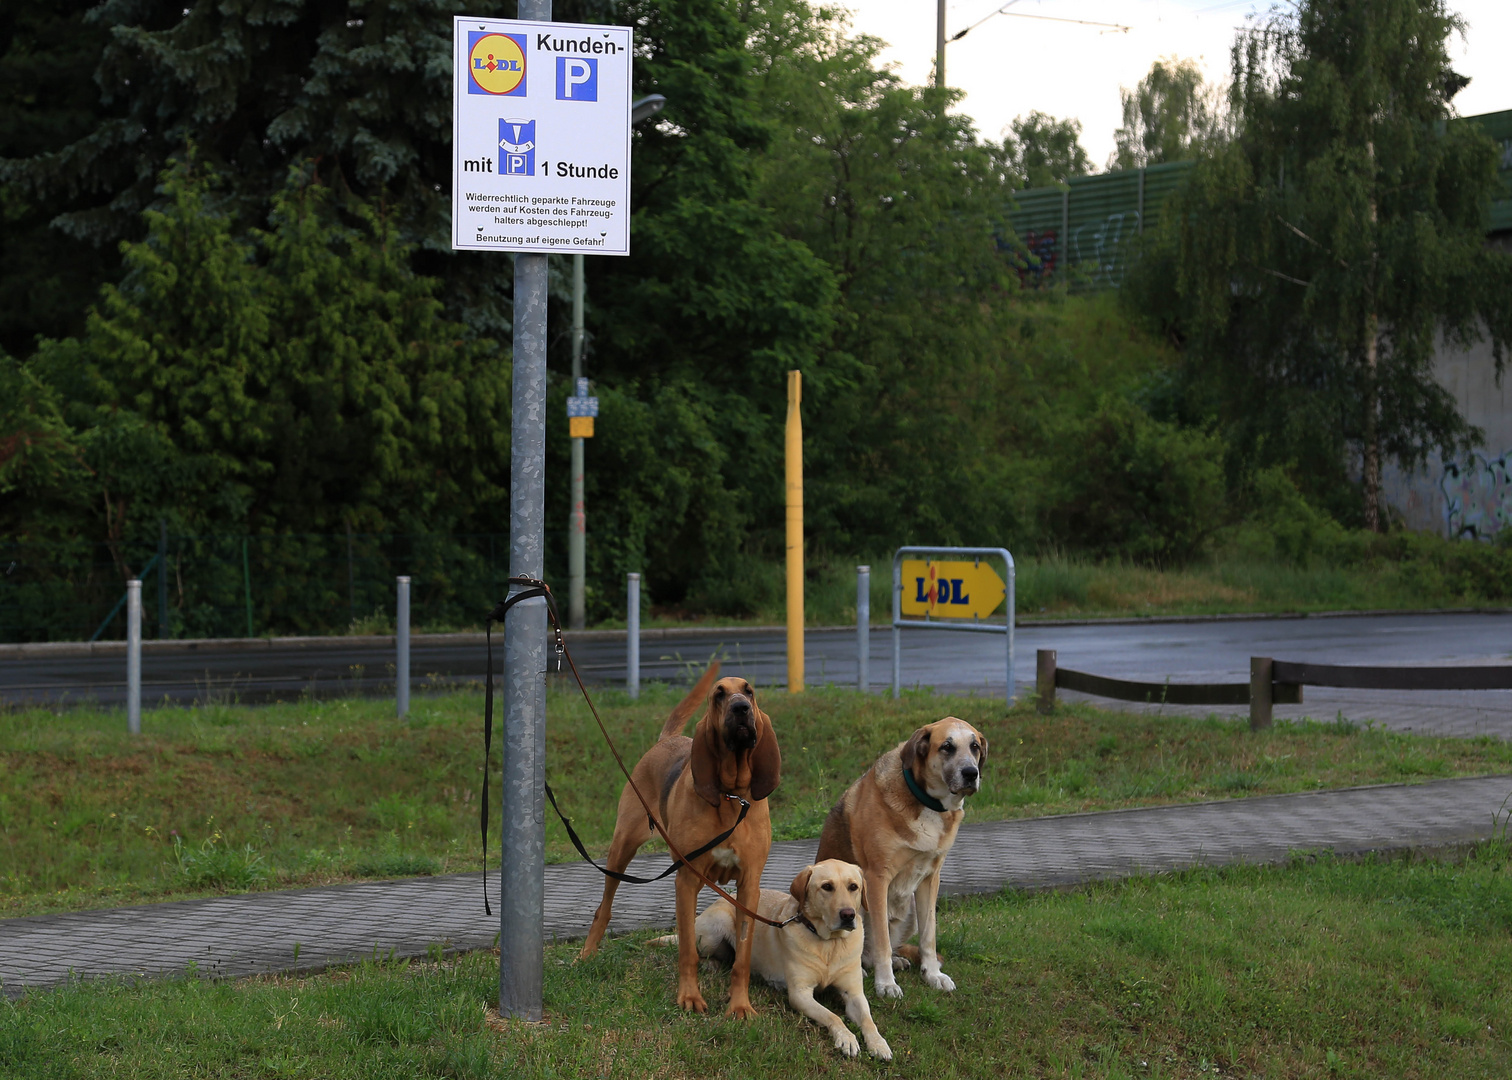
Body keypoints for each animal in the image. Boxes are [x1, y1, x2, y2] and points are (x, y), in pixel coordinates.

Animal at [574, 659, 780, 1016]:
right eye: (719, 694)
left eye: (749, 691)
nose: (741, 708)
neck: (729, 795)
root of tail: (666, 740)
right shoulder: (686, 880)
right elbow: (687, 950)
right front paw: (689, 997)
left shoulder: (749, 886)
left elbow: (741, 956)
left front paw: (739, 1005)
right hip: (622, 847)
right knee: (605, 906)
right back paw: (587, 954)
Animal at [656, 859, 889, 1058]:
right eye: (827, 887)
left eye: (853, 887)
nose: (848, 915)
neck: (829, 944)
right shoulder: (800, 994)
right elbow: (832, 1015)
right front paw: (847, 1038)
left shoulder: (854, 993)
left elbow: (868, 1020)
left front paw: (879, 1043)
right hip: (716, 927)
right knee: (696, 952)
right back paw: (711, 963)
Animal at [822, 713, 985, 998]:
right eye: (947, 746)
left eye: (974, 746)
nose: (971, 773)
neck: (928, 803)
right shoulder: (877, 878)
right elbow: (882, 942)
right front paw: (886, 983)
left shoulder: (931, 879)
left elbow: (929, 936)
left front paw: (932, 975)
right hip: (855, 906)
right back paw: (864, 970)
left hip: (909, 907)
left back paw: (895, 961)